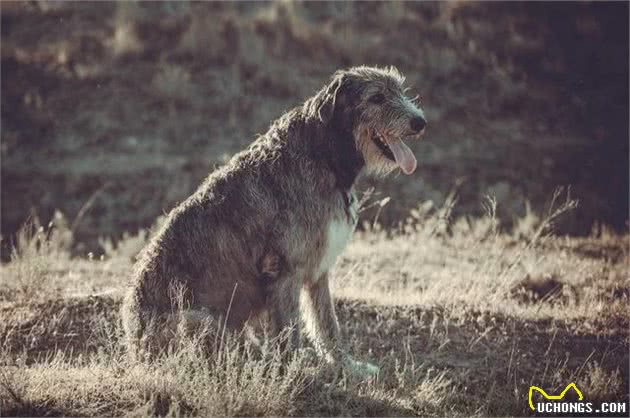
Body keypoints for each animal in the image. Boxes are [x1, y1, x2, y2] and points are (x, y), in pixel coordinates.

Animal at [122, 64, 430, 376]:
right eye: (377, 97)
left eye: (400, 90)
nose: (420, 121)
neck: (321, 153)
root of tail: (134, 349)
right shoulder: (284, 270)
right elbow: (289, 330)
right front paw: (296, 372)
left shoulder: (317, 270)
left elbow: (327, 323)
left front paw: (346, 365)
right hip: (200, 320)